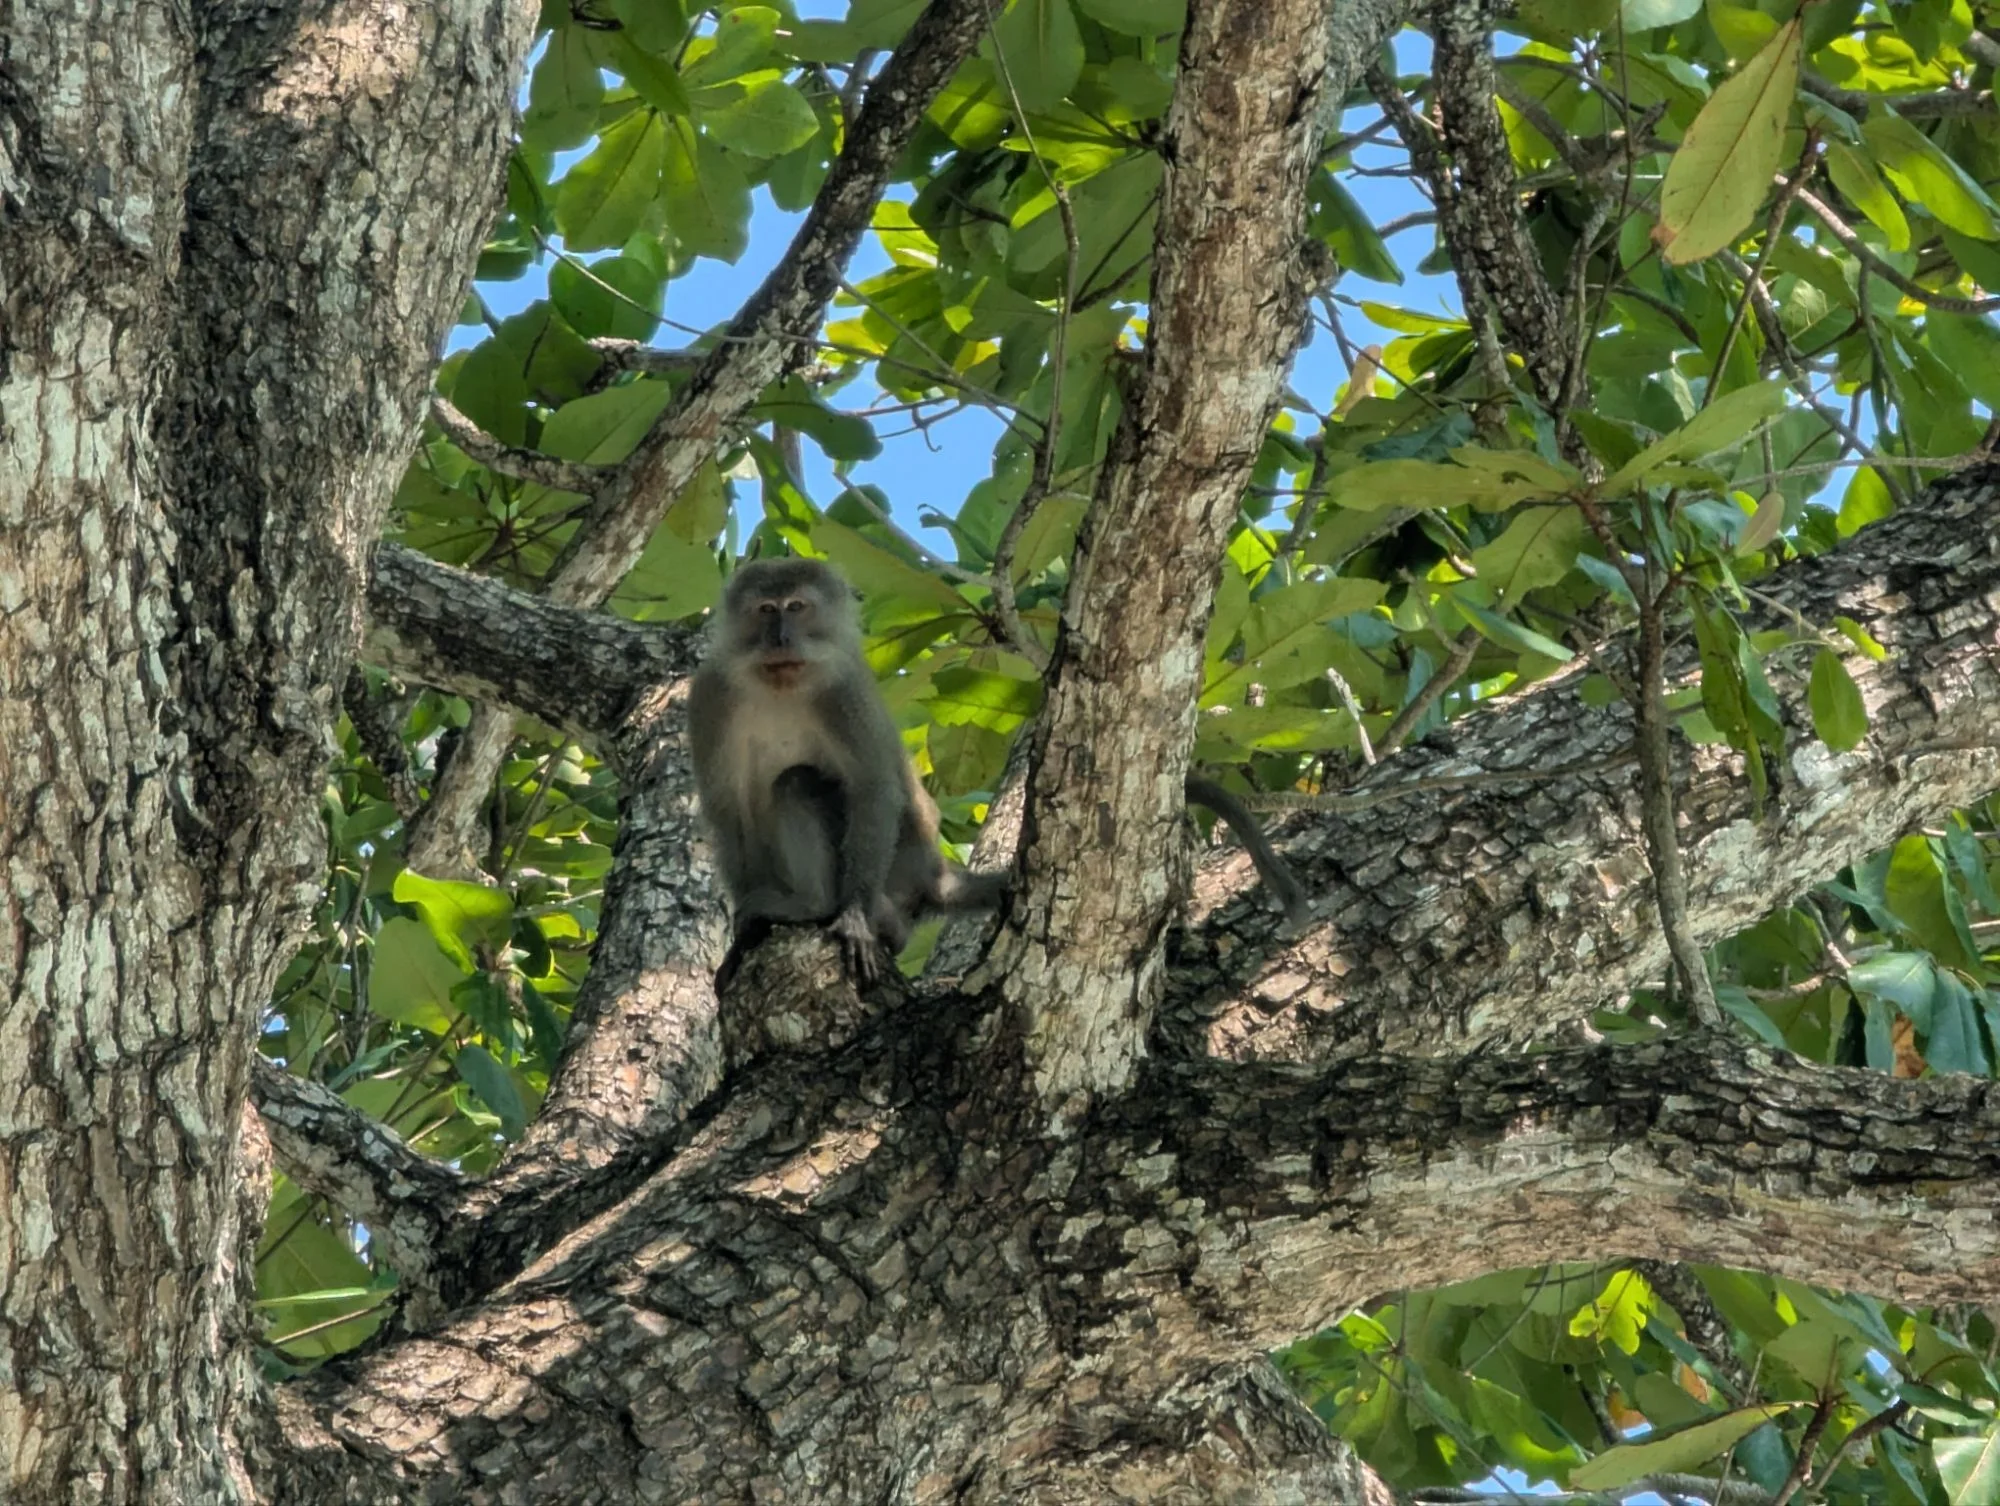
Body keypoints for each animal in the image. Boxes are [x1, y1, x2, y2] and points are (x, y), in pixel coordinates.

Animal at [690, 557, 1006, 987]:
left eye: (796, 607)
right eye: (767, 610)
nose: (781, 638)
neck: (779, 685)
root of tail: (934, 874)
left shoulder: (843, 690)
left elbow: (873, 788)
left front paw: (854, 917)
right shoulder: (710, 697)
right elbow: (726, 809)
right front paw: (742, 940)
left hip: (898, 866)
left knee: (797, 782)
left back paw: (826, 907)